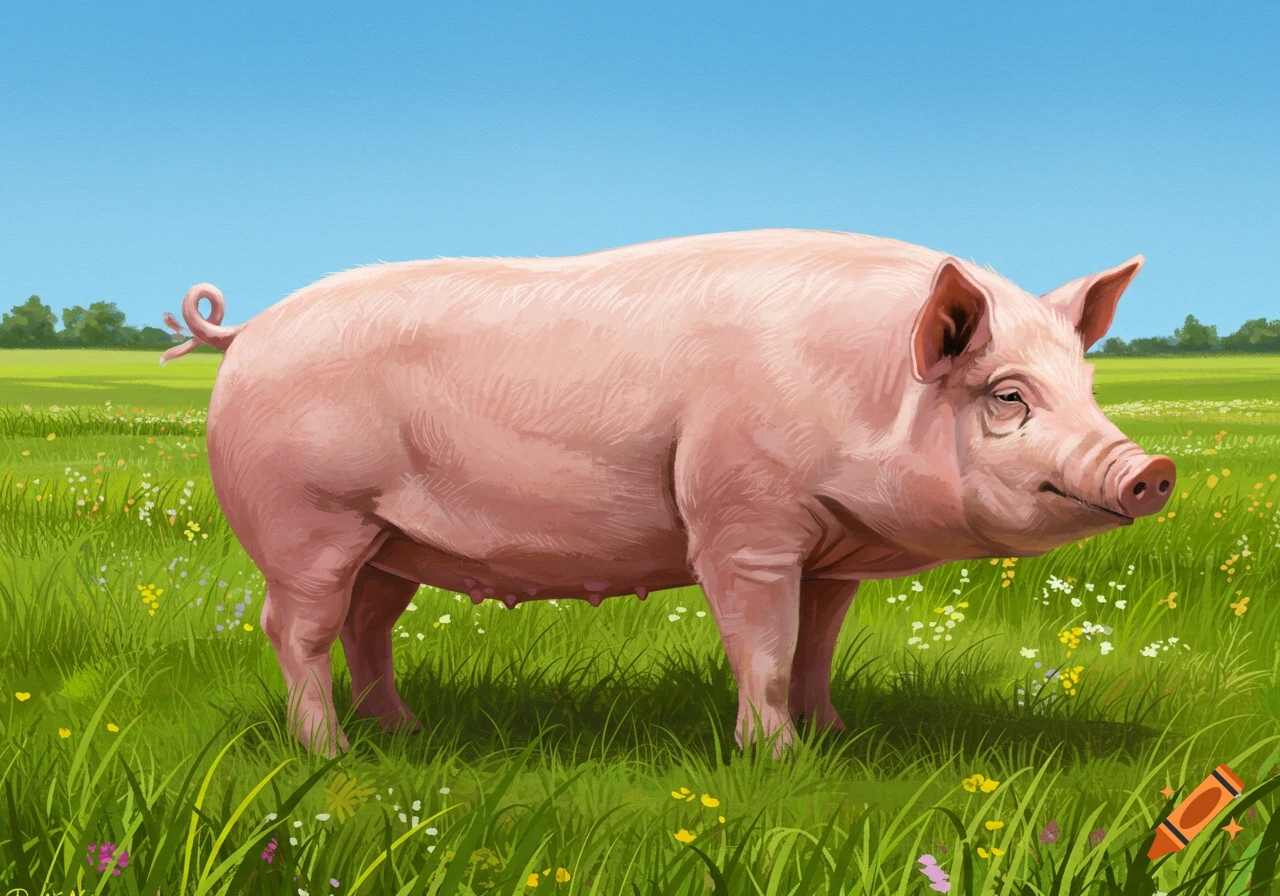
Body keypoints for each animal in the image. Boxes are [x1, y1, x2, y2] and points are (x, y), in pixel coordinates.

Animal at [161, 229, 1175, 757]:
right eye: (1008, 395)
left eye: (1087, 385)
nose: (1152, 469)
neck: (863, 391)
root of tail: (244, 331)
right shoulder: (743, 525)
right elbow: (765, 649)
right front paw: (778, 760)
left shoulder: (832, 554)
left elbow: (818, 647)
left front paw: (837, 736)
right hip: (309, 519)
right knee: (296, 628)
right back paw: (329, 754)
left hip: (390, 540)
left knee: (369, 625)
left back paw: (404, 733)